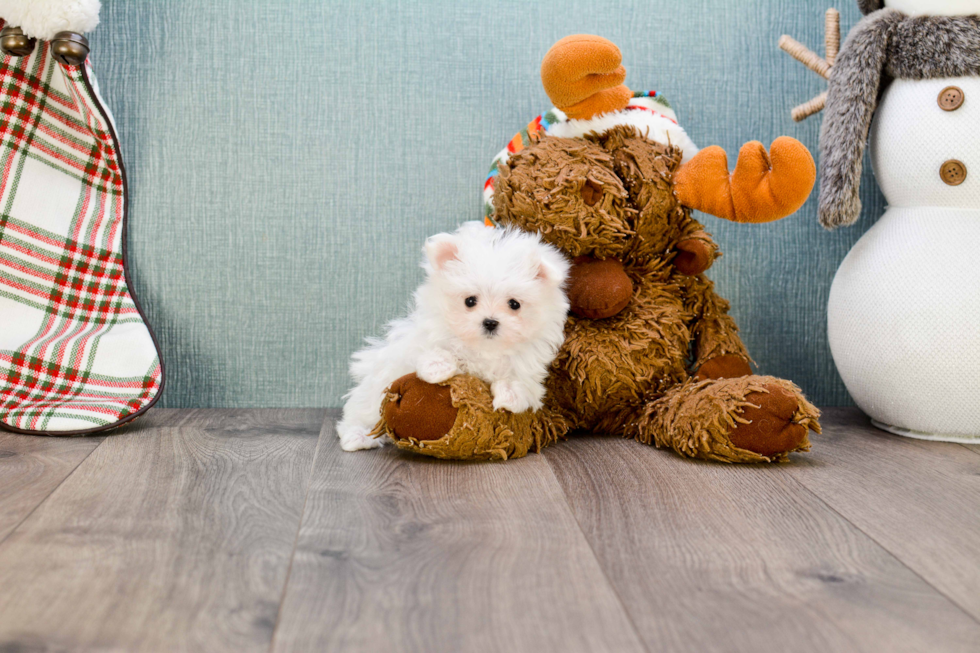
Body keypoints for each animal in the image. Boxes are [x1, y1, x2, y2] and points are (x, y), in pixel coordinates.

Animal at [336, 222, 568, 450]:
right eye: (470, 301)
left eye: (514, 304)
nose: (490, 322)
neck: (484, 348)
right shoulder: (425, 338)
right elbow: (438, 350)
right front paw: (437, 368)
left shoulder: (528, 363)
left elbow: (518, 379)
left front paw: (510, 396)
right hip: (373, 393)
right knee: (361, 413)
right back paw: (357, 436)